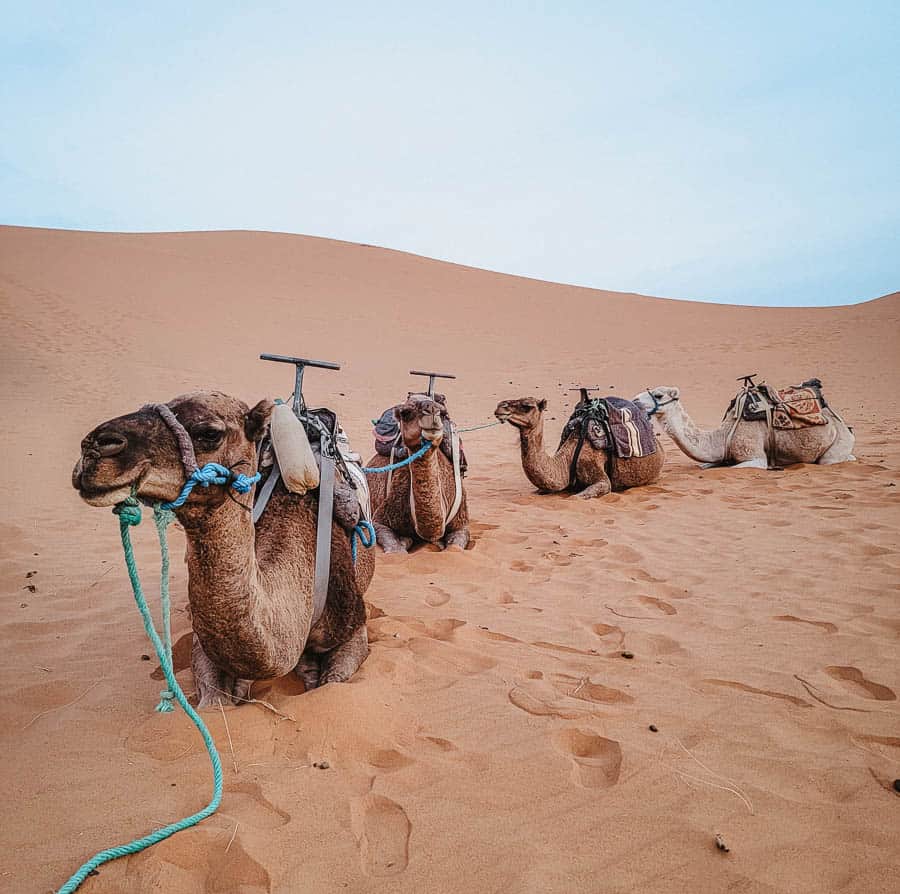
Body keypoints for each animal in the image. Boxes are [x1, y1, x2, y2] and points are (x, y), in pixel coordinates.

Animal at [72, 391, 375, 707]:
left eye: (209, 433)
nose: (94, 448)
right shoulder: (202, 645)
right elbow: (213, 702)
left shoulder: (354, 626)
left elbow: (332, 681)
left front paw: (310, 671)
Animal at [366, 394, 469, 553]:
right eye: (405, 413)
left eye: (443, 413)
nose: (431, 409)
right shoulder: (380, 519)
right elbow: (396, 550)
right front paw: (404, 541)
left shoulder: (461, 522)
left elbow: (455, 547)